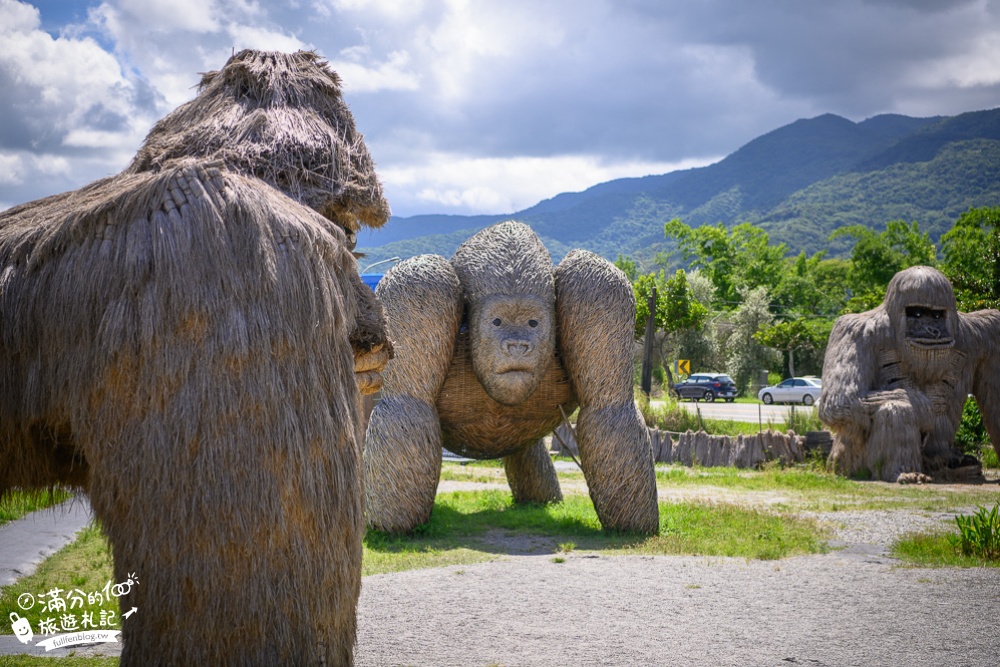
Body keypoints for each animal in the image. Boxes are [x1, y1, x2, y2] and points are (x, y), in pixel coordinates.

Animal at [364, 222, 660, 536]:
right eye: (497, 322)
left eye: (533, 322)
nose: (517, 346)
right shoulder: (420, 289)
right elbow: (406, 406)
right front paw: (394, 524)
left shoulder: (598, 291)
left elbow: (610, 409)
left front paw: (633, 524)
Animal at [820, 264, 1000, 480]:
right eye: (917, 314)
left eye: (936, 315)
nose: (932, 330)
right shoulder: (853, 331)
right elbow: (840, 401)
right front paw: (921, 405)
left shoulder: (989, 331)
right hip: (845, 461)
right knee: (894, 408)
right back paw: (904, 472)